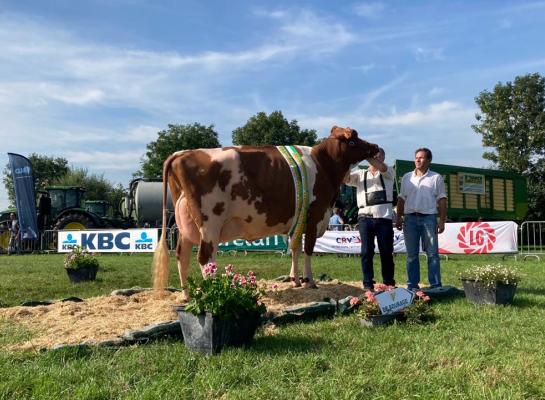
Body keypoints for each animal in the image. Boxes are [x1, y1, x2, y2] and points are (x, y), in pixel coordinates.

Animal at [151, 126, 376, 296]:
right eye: (353, 141)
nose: (375, 147)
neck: (323, 164)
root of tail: (181, 153)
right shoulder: (315, 216)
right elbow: (308, 249)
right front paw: (309, 281)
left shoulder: (298, 219)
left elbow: (295, 248)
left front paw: (295, 280)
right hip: (210, 223)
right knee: (205, 258)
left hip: (186, 226)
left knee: (182, 255)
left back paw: (187, 295)